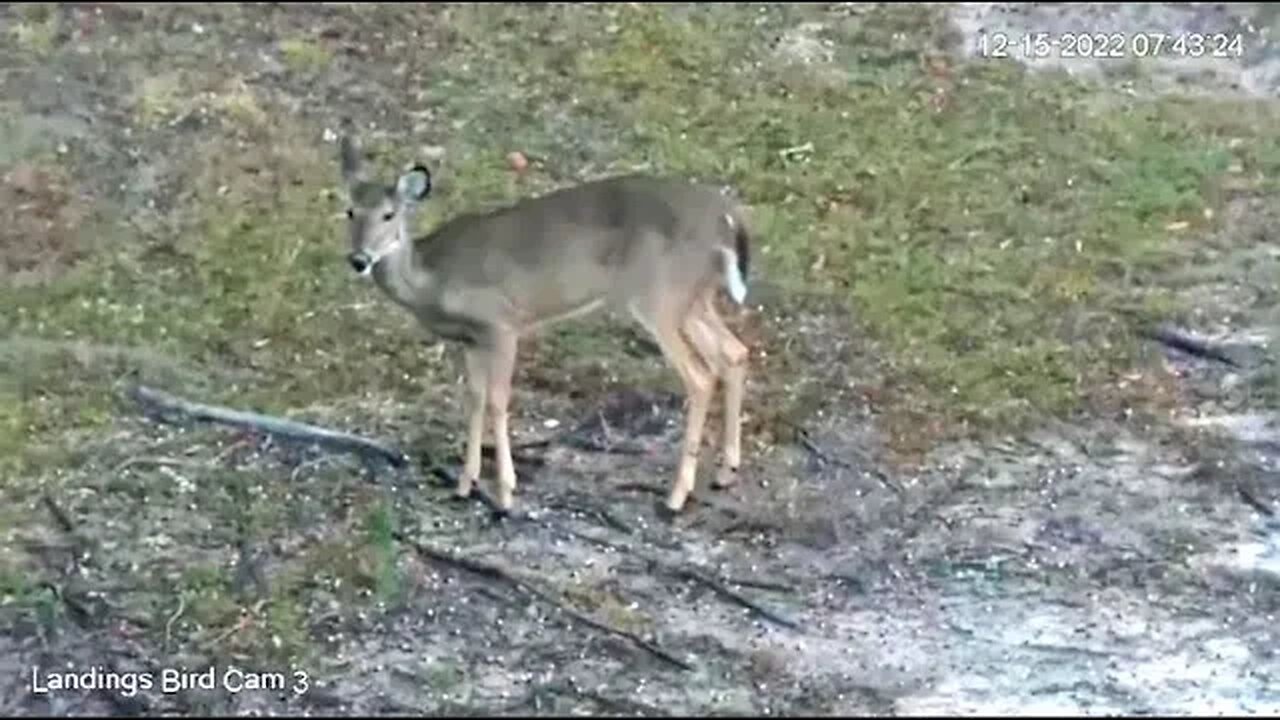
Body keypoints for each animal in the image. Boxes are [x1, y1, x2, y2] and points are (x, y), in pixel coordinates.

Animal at [340, 134, 752, 512]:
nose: (359, 259)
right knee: (734, 352)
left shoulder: (501, 322)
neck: (433, 279)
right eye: (349, 211)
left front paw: (505, 492)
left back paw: (677, 495)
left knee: (700, 376)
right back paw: (725, 472)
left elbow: (497, 400)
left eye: (389, 215)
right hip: (693, 298)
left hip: (659, 295)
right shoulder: (471, 339)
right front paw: (464, 483)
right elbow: (474, 399)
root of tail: (727, 216)